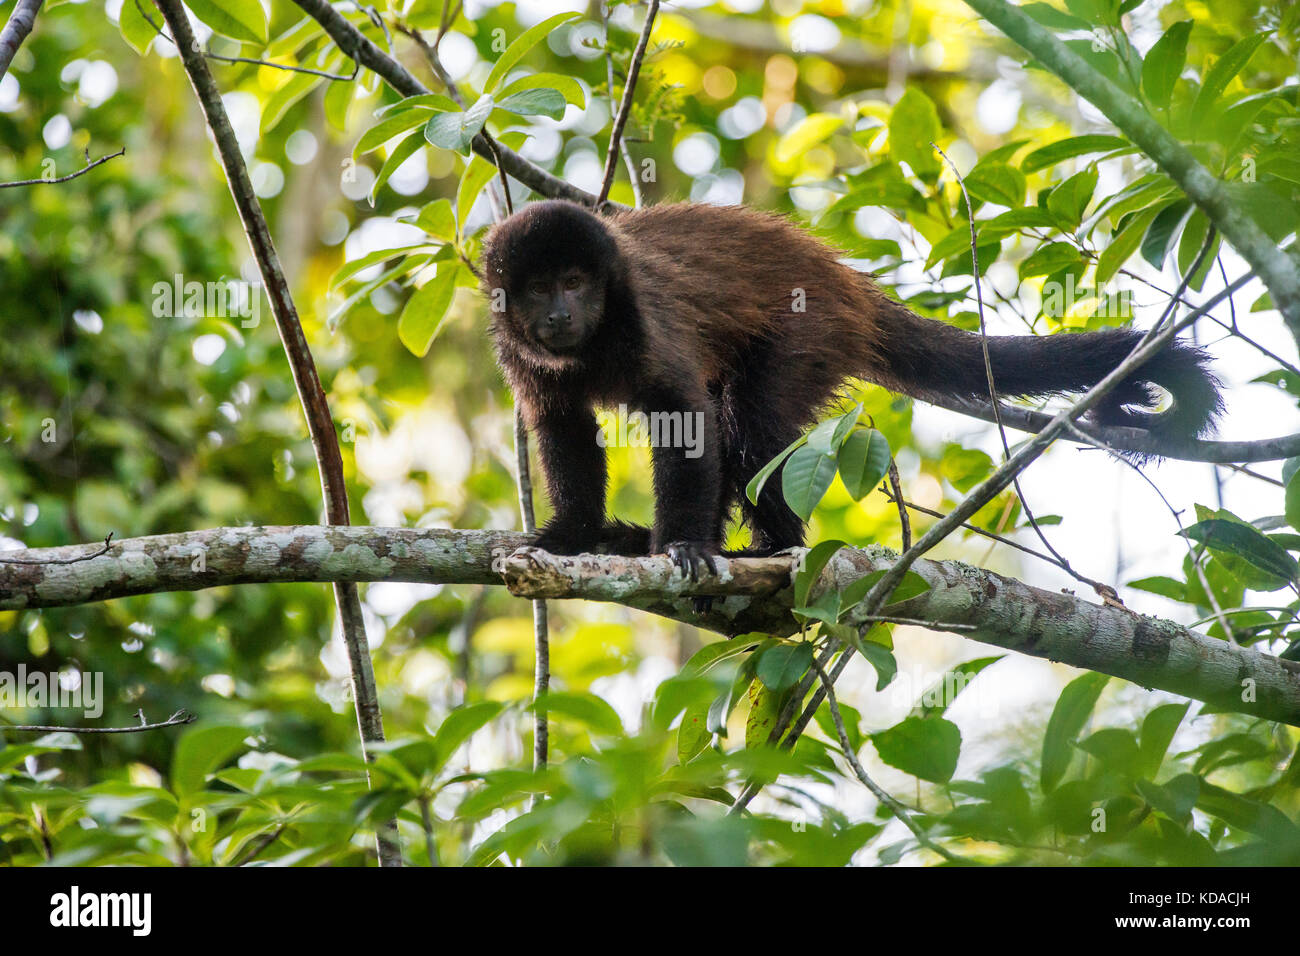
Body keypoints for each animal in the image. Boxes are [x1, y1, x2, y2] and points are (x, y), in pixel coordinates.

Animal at [478, 197, 1216, 580]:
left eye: (576, 282)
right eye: (539, 288)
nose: (559, 314)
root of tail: (842, 276)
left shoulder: (639, 316)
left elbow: (686, 416)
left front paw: (685, 546)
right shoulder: (516, 351)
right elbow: (563, 427)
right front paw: (568, 534)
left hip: (811, 328)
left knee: (752, 426)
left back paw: (771, 548)